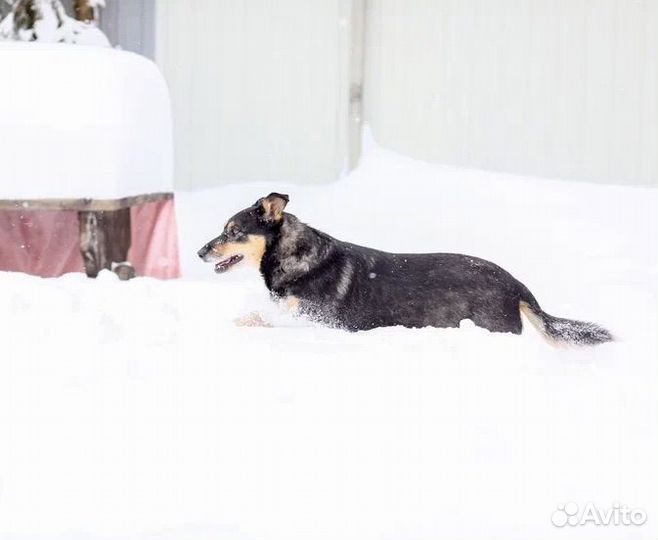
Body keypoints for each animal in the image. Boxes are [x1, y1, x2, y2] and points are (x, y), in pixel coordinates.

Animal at [197, 194, 612, 346]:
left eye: (232, 231)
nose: (200, 251)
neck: (296, 258)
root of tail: (516, 283)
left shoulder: (318, 322)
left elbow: (257, 321)